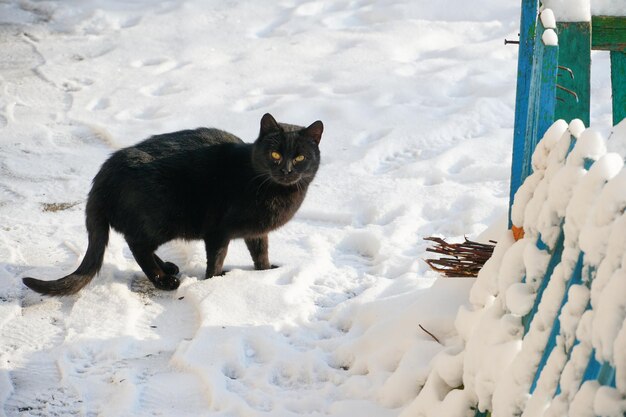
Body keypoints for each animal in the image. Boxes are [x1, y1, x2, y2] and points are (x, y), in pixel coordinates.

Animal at [22, 114, 322, 294]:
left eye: (299, 158)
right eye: (275, 154)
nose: (286, 170)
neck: (276, 193)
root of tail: (103, 174)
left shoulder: (257, 232)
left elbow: (260, 252)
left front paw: (265, 274)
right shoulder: (218, 232)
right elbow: (216, 259)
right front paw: (214, 283)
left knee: (140, 244)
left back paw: (167, 268)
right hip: (163, 217)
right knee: (137, 245)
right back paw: (163, 280)